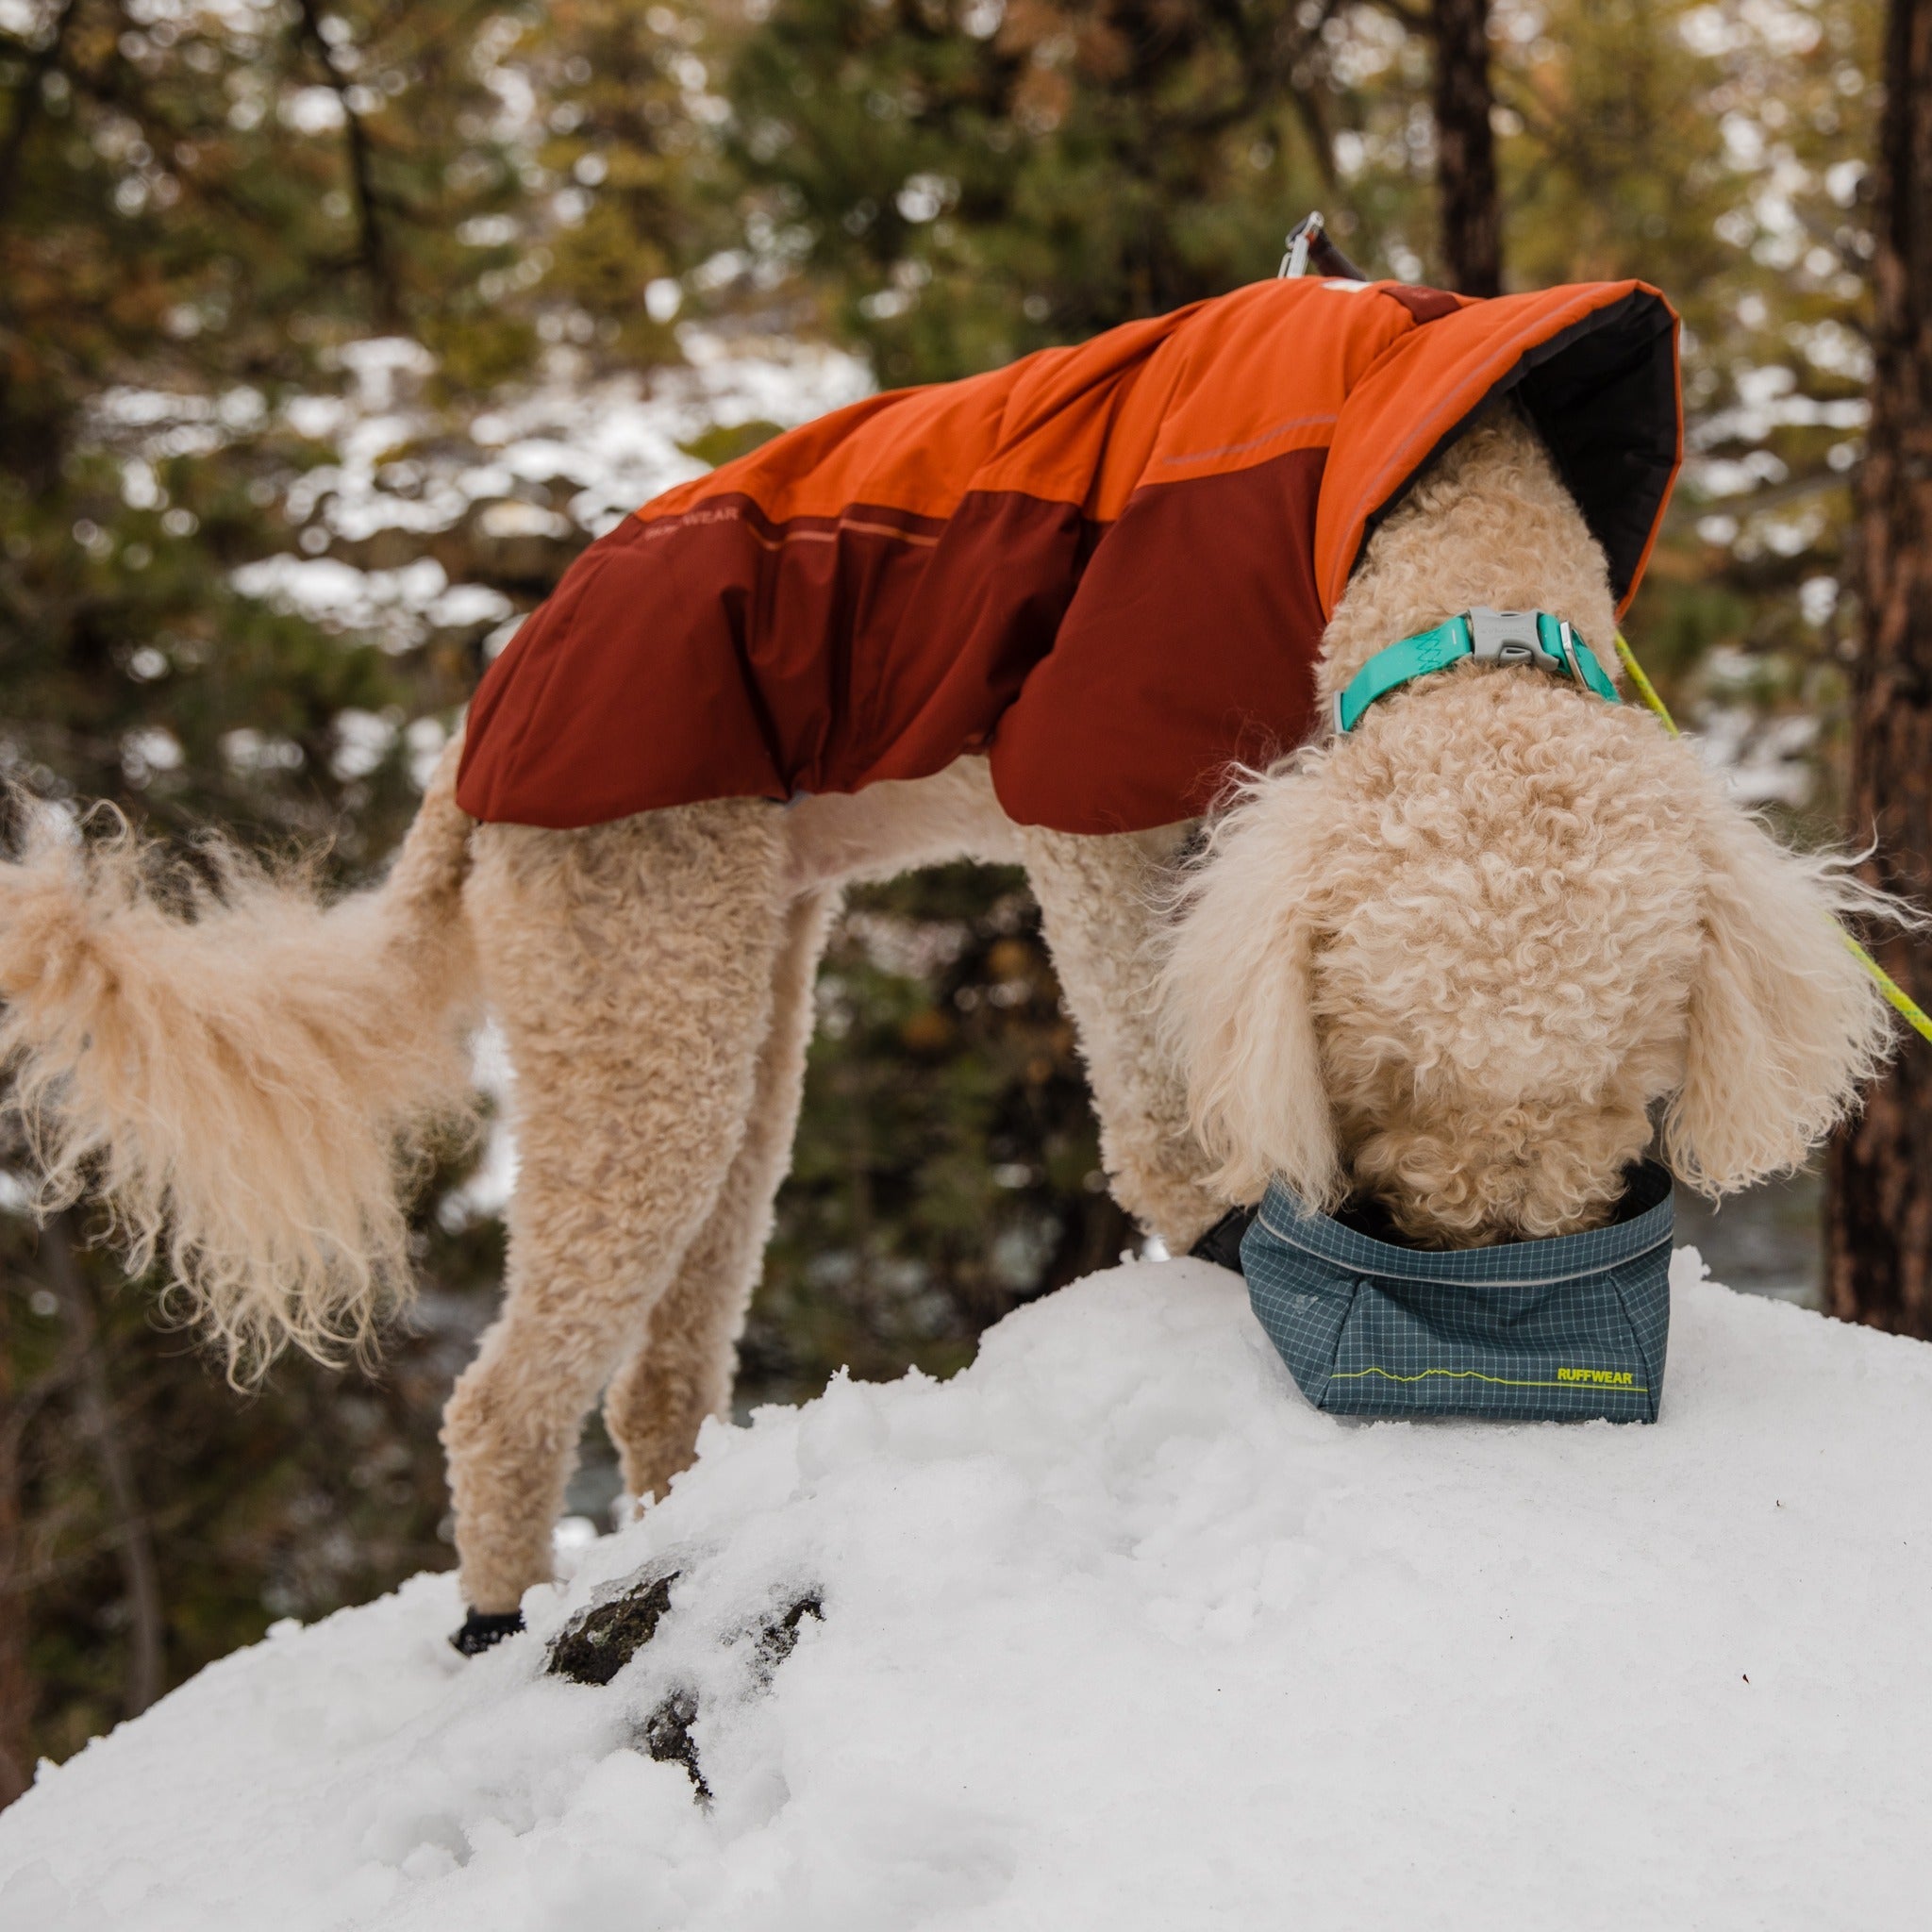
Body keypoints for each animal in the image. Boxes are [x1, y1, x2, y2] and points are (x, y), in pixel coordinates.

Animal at [0, 408, 1893, 1615]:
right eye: (1388, 1074)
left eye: (1625, 1085)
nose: (1481, 1274)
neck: (1442, 530)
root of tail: (480, 725)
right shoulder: (1099, 792)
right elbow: (1146, 1058)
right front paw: (1217, 1234)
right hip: (637, 991)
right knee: (506, 1402)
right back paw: (494, 1622)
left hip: (736, 1001)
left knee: (660, 1370)